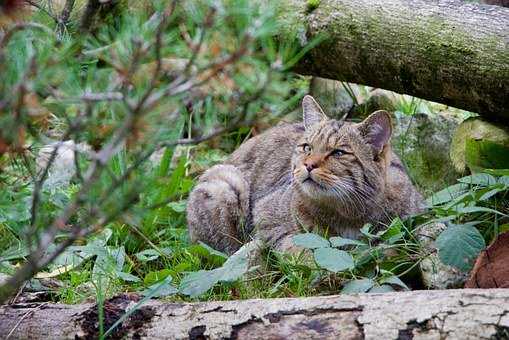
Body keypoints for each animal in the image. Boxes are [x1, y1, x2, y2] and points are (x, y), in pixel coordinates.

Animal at [185, 94, 422, 254]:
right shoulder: (266, 216)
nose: (308, 165)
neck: (348, 214)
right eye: (307, 147)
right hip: (226, 183)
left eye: (338, 153)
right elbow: (295, 245)